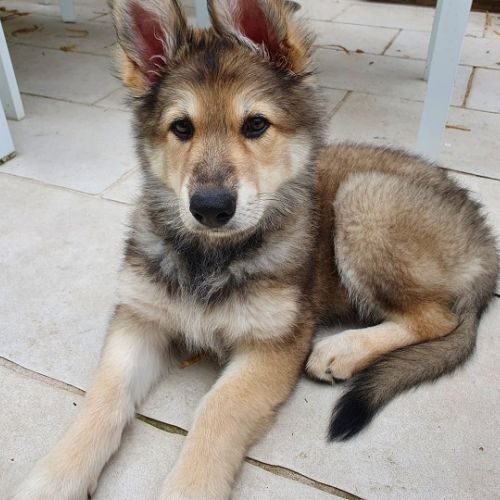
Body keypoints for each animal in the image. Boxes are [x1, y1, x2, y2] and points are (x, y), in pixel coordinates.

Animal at [14, 0, 498, 498]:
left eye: (256, 125)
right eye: (181, 128)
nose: (210, 208)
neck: (210, 255)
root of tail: (485, 239)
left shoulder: (272, 343)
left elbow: (217, 410)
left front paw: (189, 486)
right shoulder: (138, 318)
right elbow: (102, 396)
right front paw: (57, 475)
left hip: (363, 199)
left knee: (436, 318)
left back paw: (341, 350)